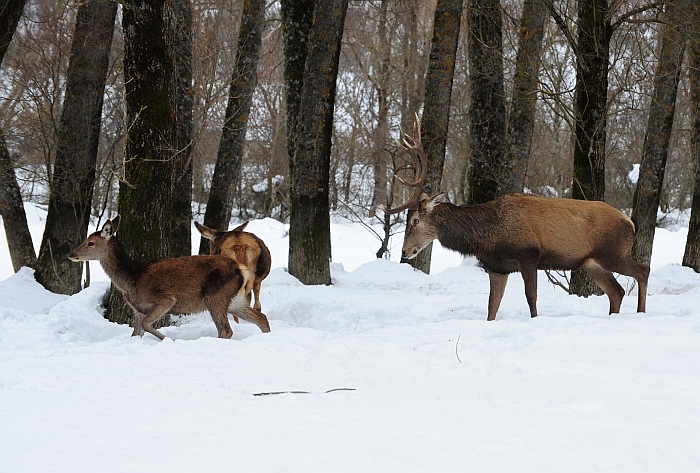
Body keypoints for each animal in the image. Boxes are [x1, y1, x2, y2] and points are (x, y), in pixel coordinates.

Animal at [68, 216, 270, 342]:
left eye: (90, 243)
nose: (72, 254)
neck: (132, 279)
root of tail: (241, 269)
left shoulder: (165, 299)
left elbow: (146, 325)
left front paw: (170, 339)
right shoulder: (138, 310)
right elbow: (136, 333)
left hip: (215, 296)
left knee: (226, 330)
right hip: (235, 299)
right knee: (261, 317)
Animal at [386, 117, 648, 320]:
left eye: (415, 220)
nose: (405, 251)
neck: (489, 236)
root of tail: (631, 222)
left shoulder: (529, 254)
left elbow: (531, 297)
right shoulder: (497, 267)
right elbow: (492, 306)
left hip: (614, 252)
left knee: (642, 270)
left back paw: (641, 313)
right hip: (592, 262)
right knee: (616, 291)